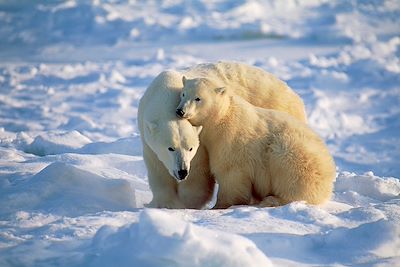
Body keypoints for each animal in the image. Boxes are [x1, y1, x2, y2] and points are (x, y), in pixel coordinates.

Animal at [138, 61, 306, 209]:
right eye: (170, 148)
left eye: (190, 148)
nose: (182, 171)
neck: (165, 91)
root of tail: (295, 96)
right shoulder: (147, 138)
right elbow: (158, 170)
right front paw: (165, 203)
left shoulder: (201, 145)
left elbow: (198, 173)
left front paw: (186, 203)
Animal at [177, 77, 336, 209]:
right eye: (183, 94)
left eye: (198, 98)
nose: (180, 111)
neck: (220, 117)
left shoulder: (230, 138)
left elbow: (230, 171)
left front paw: (219, 206)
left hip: (295, 156)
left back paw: (271, 200)